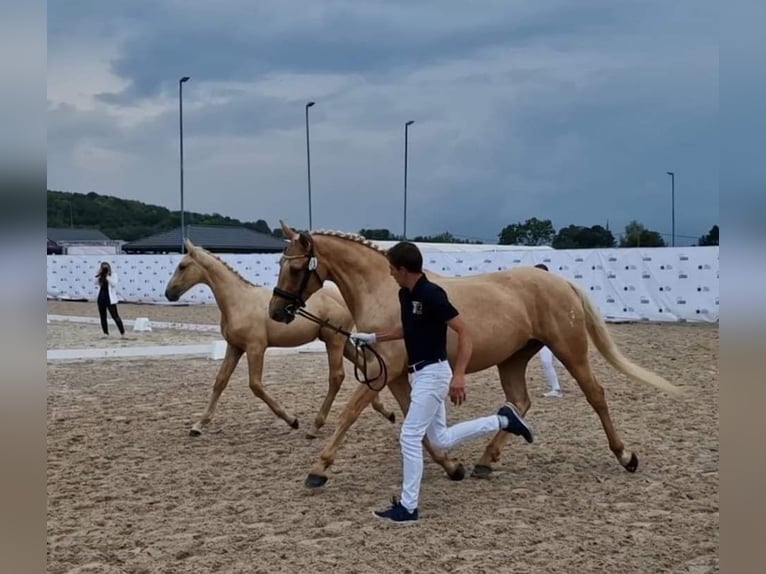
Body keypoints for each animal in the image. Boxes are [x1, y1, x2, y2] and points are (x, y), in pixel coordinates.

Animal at [166, 241, 400, 438]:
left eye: (182, 266)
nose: (169, 293)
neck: (238, 301)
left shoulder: (255, 348)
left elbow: (255, 385)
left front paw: (292, 420)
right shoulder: (235, 347)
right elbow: (220, 382)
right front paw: (198, 425)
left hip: (333, 341)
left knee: (337, 377)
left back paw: (315, 427)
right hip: (340, 342)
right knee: (364, 363)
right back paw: (386, 412)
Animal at [268, 223, 680, 488]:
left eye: (294, 267)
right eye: (280, 264)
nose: (276, 311)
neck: (389, 292)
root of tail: (560, 281)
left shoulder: (383, 370)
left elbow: (351, 413)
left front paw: (319, 469)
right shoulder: (396, 373)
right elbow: (415, 422)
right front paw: (452, 466)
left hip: (570, 350)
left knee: (595, 395)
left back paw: (626, 456)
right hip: (513, 358)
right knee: (518, 403)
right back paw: (484, 461)